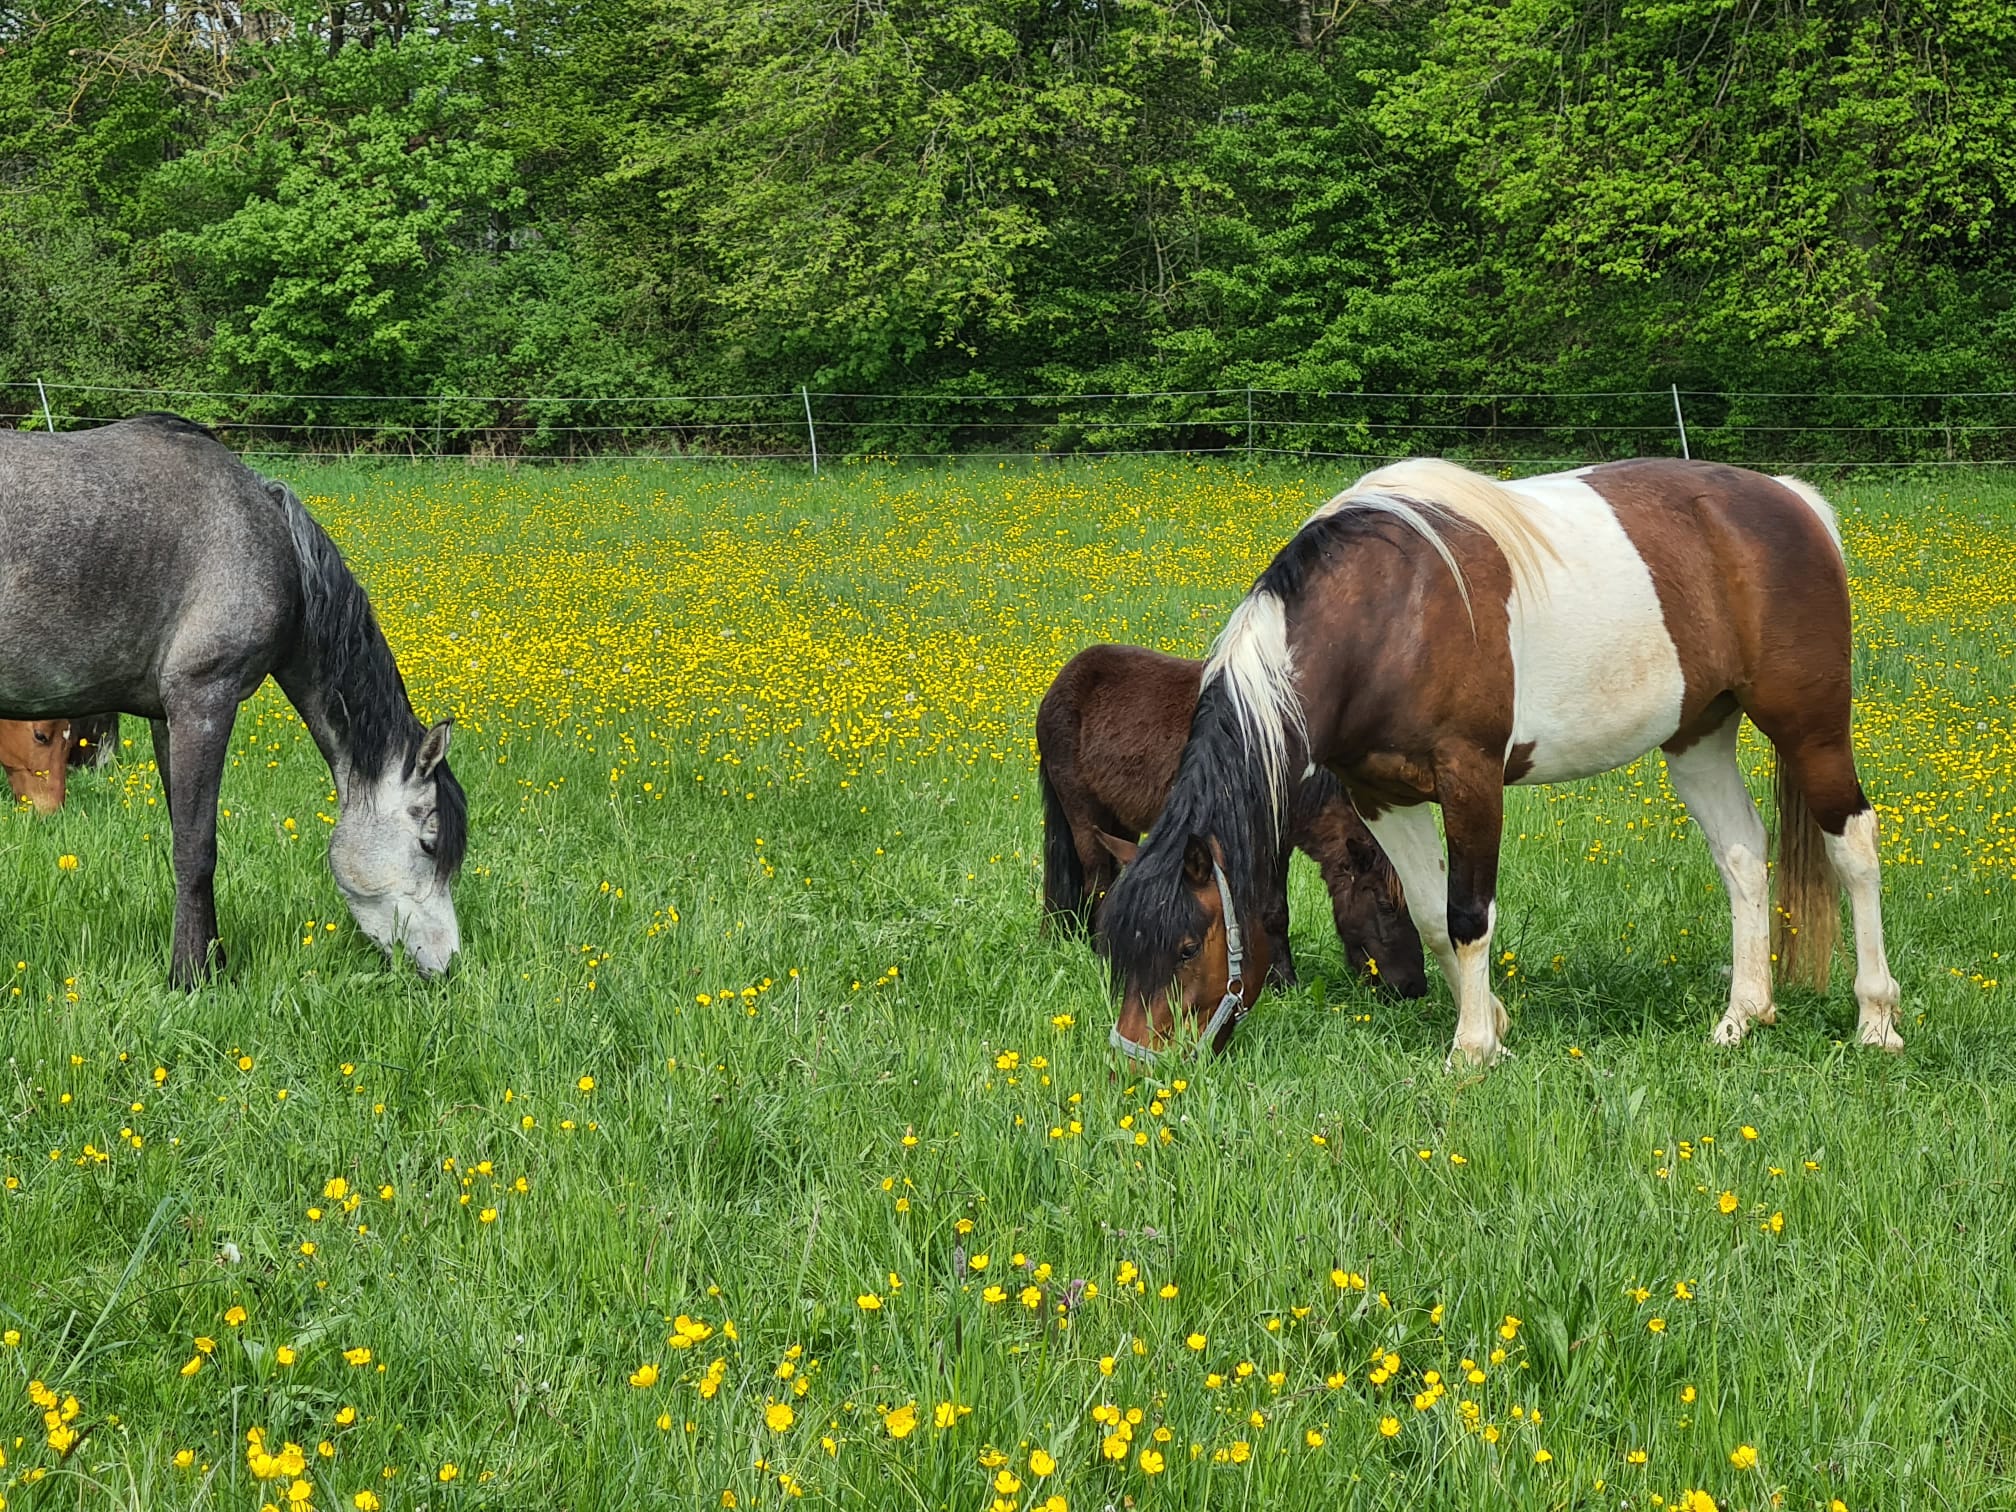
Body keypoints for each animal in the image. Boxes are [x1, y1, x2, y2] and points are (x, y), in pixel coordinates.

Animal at [0, 414, 467, 983]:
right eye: (429, 841)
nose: (448, 964)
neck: (268, 535)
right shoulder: (205, 701)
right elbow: (196, 851)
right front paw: (191, 976)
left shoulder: (168, 717)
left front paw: (211, 959)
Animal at [1037, 643, 1426, 1002]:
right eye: (1386, 906)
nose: (1413, 988)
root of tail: (1063, 680)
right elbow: (1271, 911)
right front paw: (1282, 982)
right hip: (1082, 814)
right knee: (1098, 882)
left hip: (1117, 821)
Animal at [1099, 457, 1901, 1067]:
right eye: (1116, 953)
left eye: (1185, 946)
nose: (1138, 1067)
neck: (1385, 618)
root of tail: (1792, 499)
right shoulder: (1382, 796)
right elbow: (1429, 916)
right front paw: (1495, 1024)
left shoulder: (1472, 780)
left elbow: (1468, 915)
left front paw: (1473, 1050)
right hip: (1698, 738)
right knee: (1740, 855)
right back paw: (1742, 1016)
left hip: (1809, 728)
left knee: (1854, 846)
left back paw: (1875, 1021)